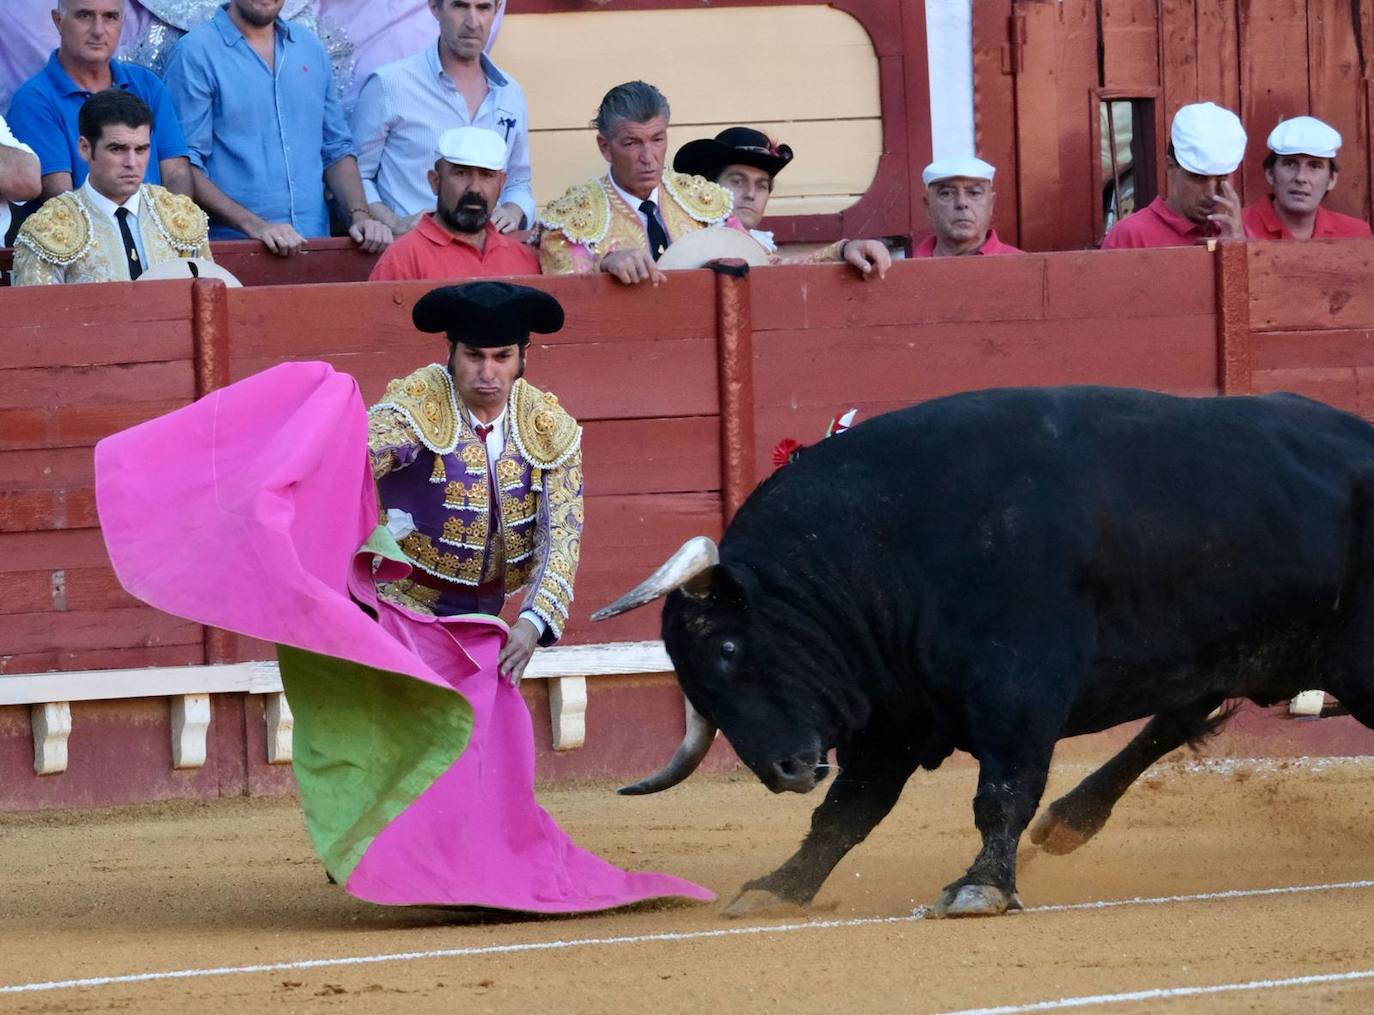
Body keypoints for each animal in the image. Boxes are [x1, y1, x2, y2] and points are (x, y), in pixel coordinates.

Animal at [596, 384, 1374, 917]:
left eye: (728, 646)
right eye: (696, 684)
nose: (784, 770)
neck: (881, 548)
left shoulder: (1019, 692)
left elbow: (1001, 791)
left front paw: (980, 888)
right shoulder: (897, 716)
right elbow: (847, 811)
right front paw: (779, 887)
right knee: (1181, 713)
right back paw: (1072, 820)